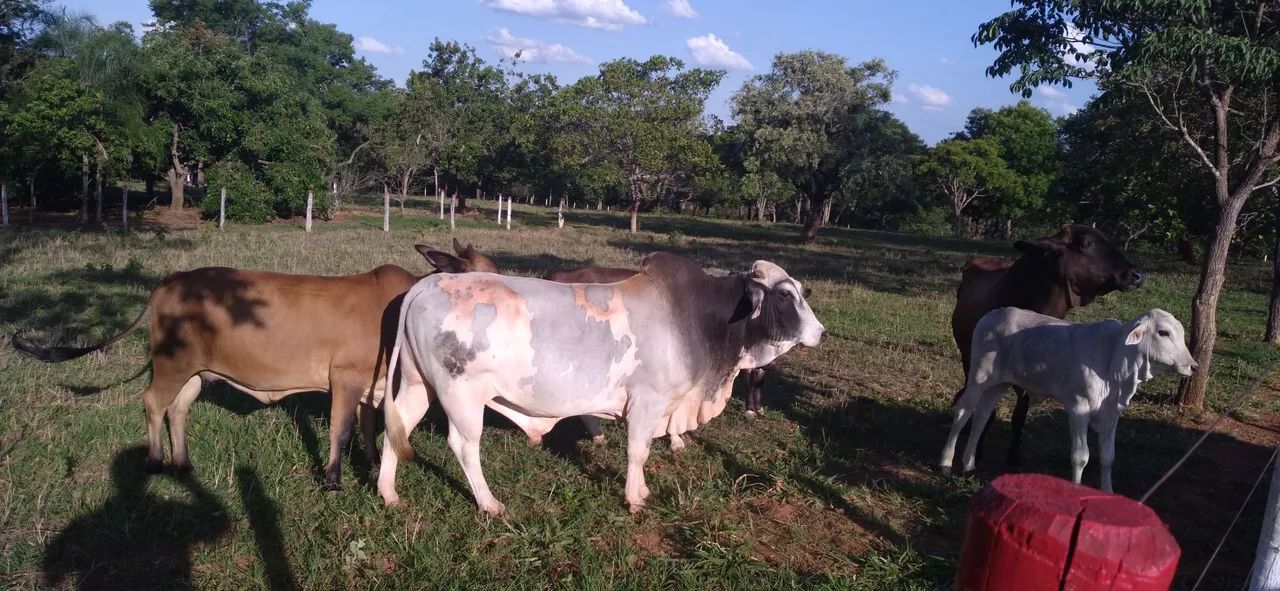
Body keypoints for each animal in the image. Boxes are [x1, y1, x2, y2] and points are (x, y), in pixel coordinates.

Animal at [10, 239, 497, 490]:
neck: (400, 307)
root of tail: (169, 282)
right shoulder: (344, 378)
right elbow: (339, 431)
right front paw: (333, 479)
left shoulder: (370, 388)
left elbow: (368, 429)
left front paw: (374, 467)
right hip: (171, 363)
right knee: (151, 401)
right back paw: (155, 461)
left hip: (194, 372)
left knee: (177, 408)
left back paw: (182, 464)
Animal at [376, 252, 826, 514]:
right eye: (785, 295)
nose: (821, 333)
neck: (701, 318)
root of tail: (428, 284)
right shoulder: (647, 403)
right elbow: (638, 452)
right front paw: (635, 498)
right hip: (461, 396)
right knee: (464, 447)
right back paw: (489, 503)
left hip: (417, 385)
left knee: (397, 428)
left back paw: (388, 493)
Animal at [939, 307, 1195, 492]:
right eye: (1163, 333)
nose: (1193, 366)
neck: (1114, 357)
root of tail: (991, 315)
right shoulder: (1078, 407)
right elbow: (1081, 456)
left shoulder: (1111, 413)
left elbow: (1108, 457)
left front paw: (1108, 492)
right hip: (978, 377)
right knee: (963, 413)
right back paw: (946, 461)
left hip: (998, 384)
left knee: (981, 417)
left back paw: (969, 463)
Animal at [951, 224, 1143, 465]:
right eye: (1089, 243)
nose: (1136, 275)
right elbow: (985, 411)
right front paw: (977, 451)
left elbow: (1019, 415)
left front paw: (1013, 456)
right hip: (967, 357)